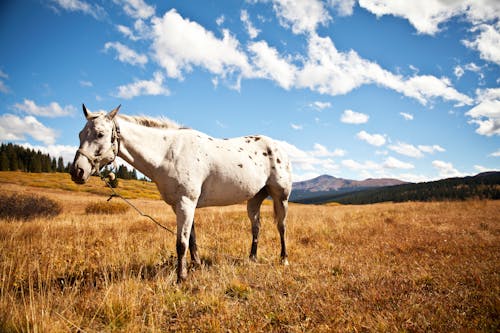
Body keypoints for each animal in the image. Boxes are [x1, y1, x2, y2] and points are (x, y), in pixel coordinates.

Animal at [70, 105, 292, 282]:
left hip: (281, 197)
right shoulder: (181, 205)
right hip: (254, 199)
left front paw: (181, 277)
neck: (167, 153)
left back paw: (284, 259)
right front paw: (195, 266)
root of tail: (277, 146)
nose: (77, 171)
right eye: (80, 134)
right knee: (256, 226)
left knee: (281, 227)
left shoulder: (186, 202)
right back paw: (252, 258)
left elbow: (181, 243)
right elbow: (191, 239)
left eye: (100, 134)